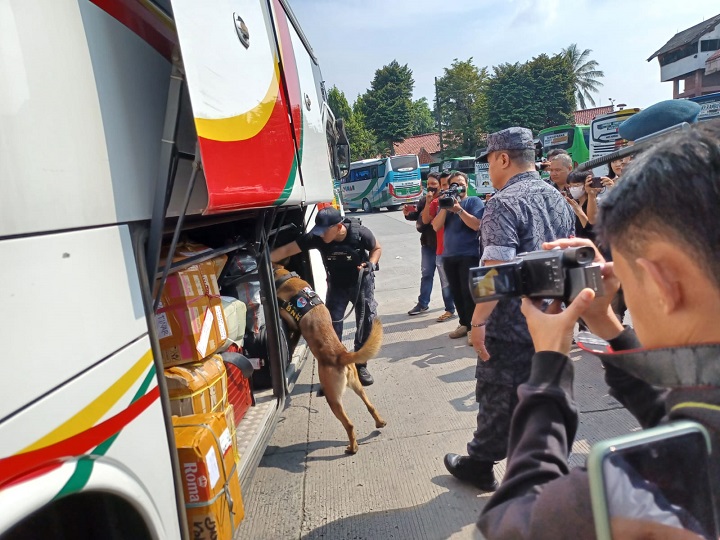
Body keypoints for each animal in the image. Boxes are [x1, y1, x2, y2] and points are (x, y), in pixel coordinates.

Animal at [272, 264, 386, 454]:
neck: (285, 277)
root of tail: (341, 355)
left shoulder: (289, 319)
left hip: (333, 399)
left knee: (349, 424)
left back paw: (352, 448)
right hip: (358, 387)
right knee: (370, 406)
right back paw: (380, 422)